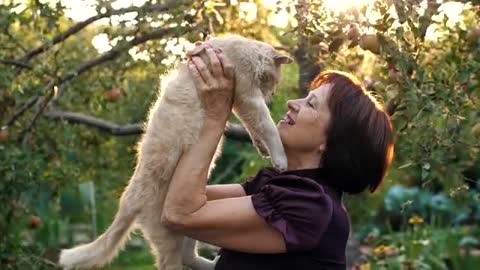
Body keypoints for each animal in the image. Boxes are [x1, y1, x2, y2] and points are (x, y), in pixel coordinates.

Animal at [60, 36, 292, 270]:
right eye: (274, 81)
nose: (272, 93)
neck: (244, 51)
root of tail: (128, 201)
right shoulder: (248, 97)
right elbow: (267, 126)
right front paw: (280, 159)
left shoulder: (239, 101)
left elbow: (253, 128)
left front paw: (262, 148)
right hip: (170, 235)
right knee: (174, 262)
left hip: (191, 224)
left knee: (189, 256)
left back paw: (211, 264)